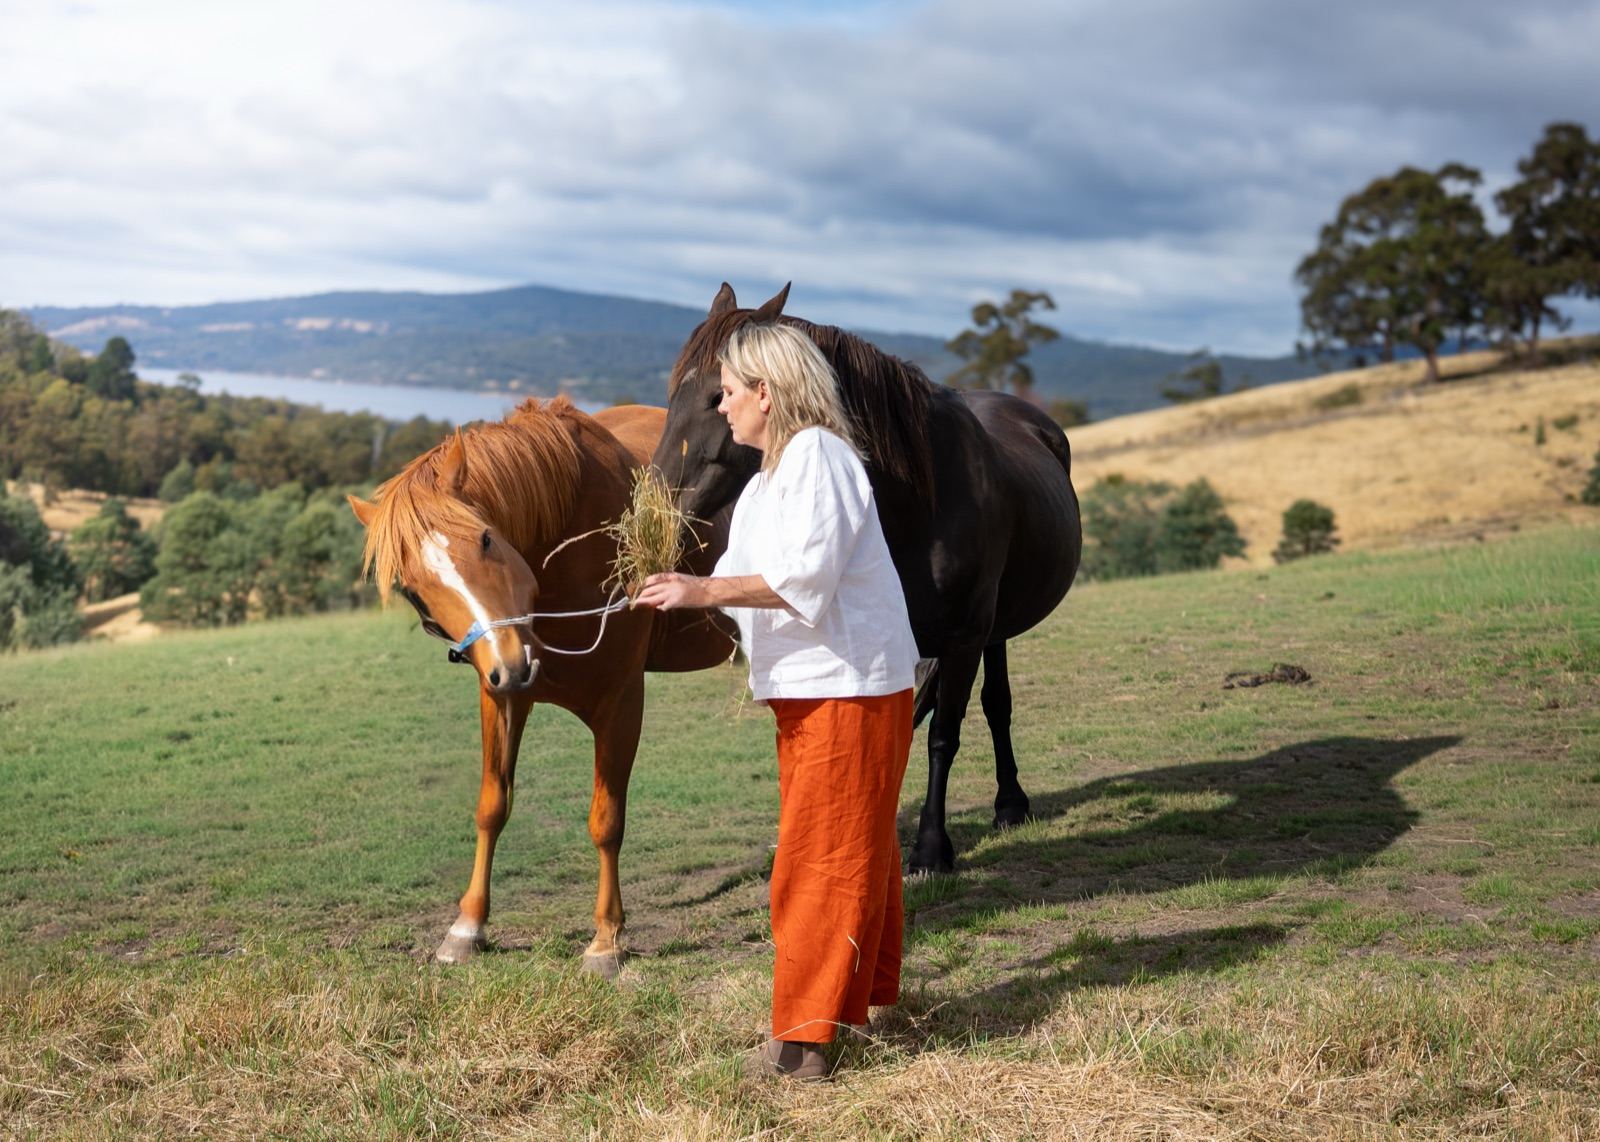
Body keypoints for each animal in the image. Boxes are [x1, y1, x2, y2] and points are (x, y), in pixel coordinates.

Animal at [348, 396, 735, 972]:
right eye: (412, 587)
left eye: (485, 538)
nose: (511, 662)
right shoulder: (500, 697)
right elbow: (491, 806)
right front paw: (468, 926)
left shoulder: (622, 703)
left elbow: (606, 821)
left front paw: (606, 938)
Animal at [653, 283, 1082, 874]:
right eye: (673, 389)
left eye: (720, 393)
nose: (656, 502)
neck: (919, 501)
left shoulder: (963, 638)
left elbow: (942, 736)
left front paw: (930, 849)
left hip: (990, 631)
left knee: (996, 702)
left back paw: (1011, 804)